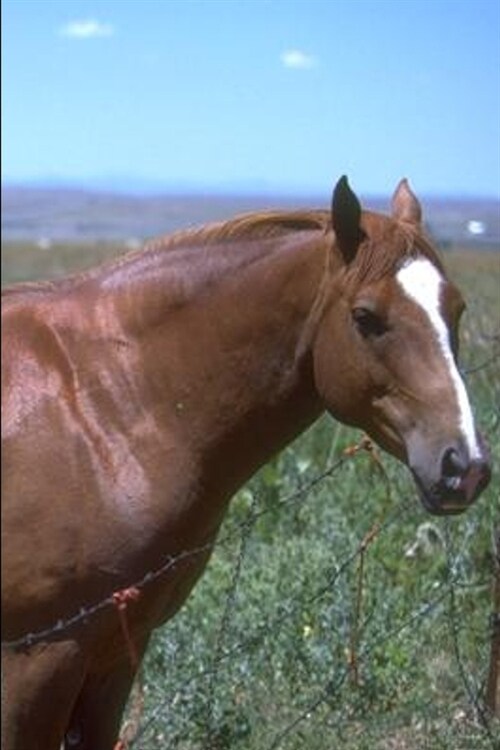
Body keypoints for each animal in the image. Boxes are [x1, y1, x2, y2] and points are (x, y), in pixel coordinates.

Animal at [0, 176, 492, 748]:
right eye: (365, 317)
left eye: (457, 310)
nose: (465, 465)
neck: (98, 407)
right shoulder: (38, 662)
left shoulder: (117, 652)